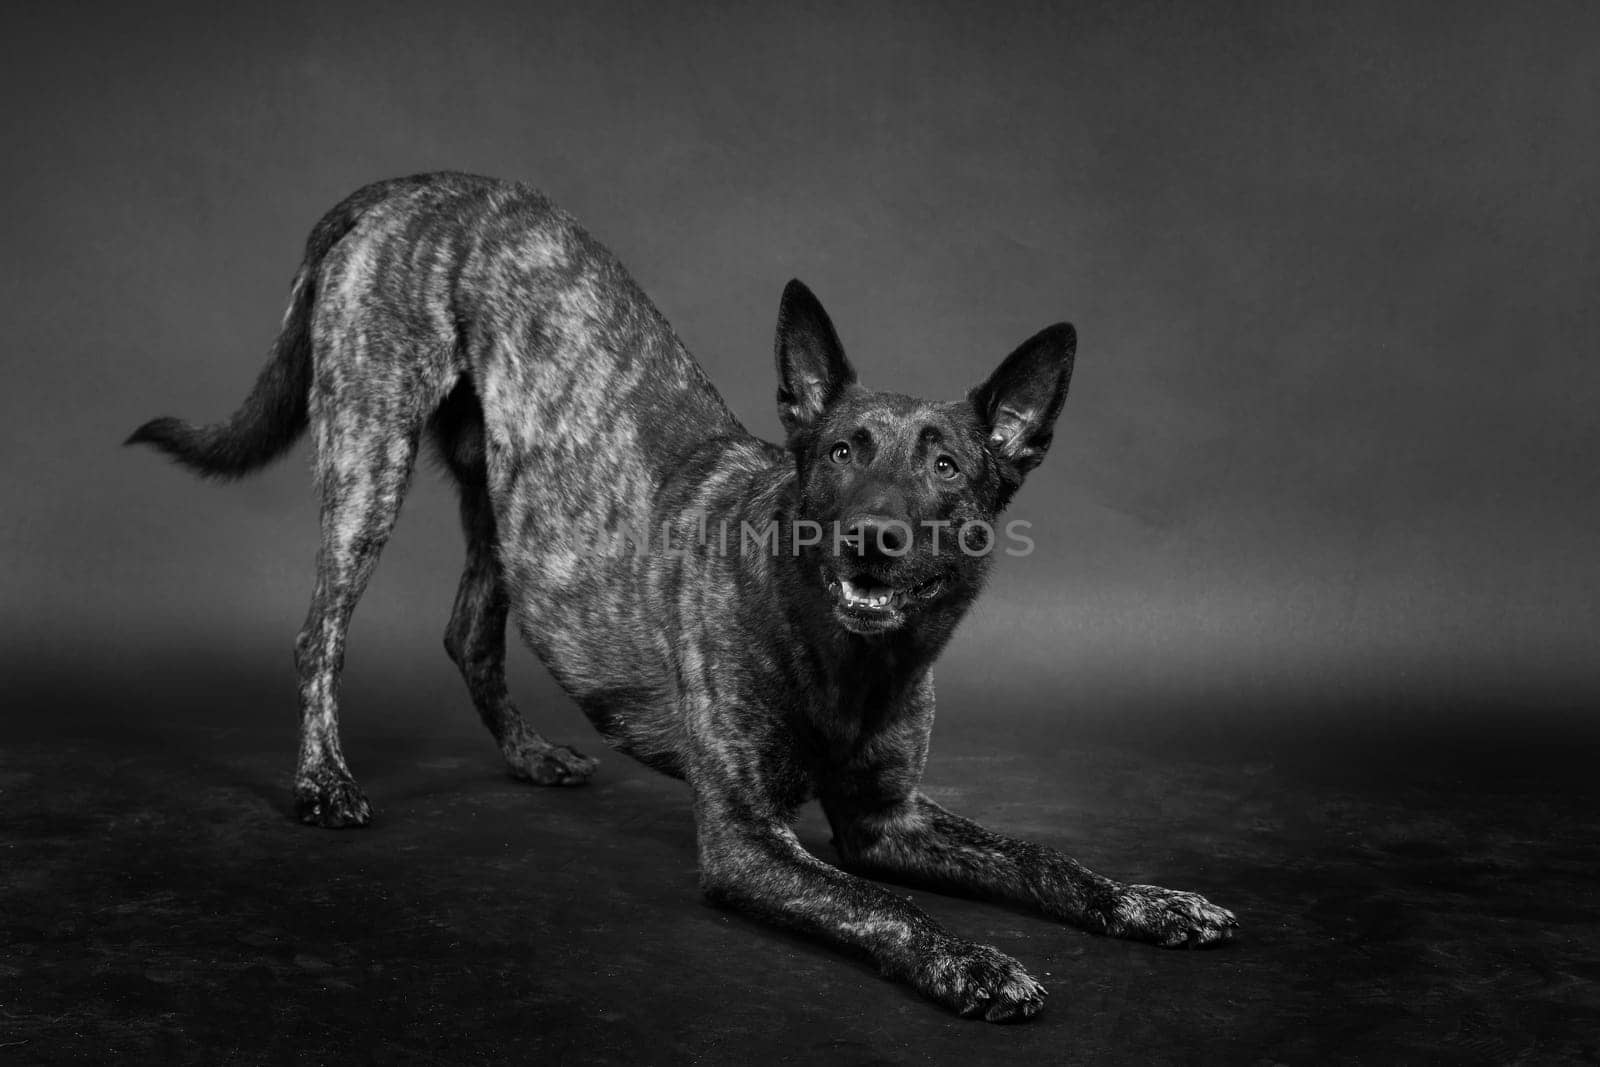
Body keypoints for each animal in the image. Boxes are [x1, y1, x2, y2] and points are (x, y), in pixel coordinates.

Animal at [134, 173, 1235, 1017]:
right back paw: (324, 782)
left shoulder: (890, 819)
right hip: (372, 454)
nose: (872, 538)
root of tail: (415, 186)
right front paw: (972, 958)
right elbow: (890, 907)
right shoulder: (747, 840)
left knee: (468, 632)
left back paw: (530, 754)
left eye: (947, 466)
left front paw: (1148, 900)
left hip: (509, 504)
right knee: (319, 631)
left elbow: (1045, 857)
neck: (845, 653)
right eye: (841, 453)